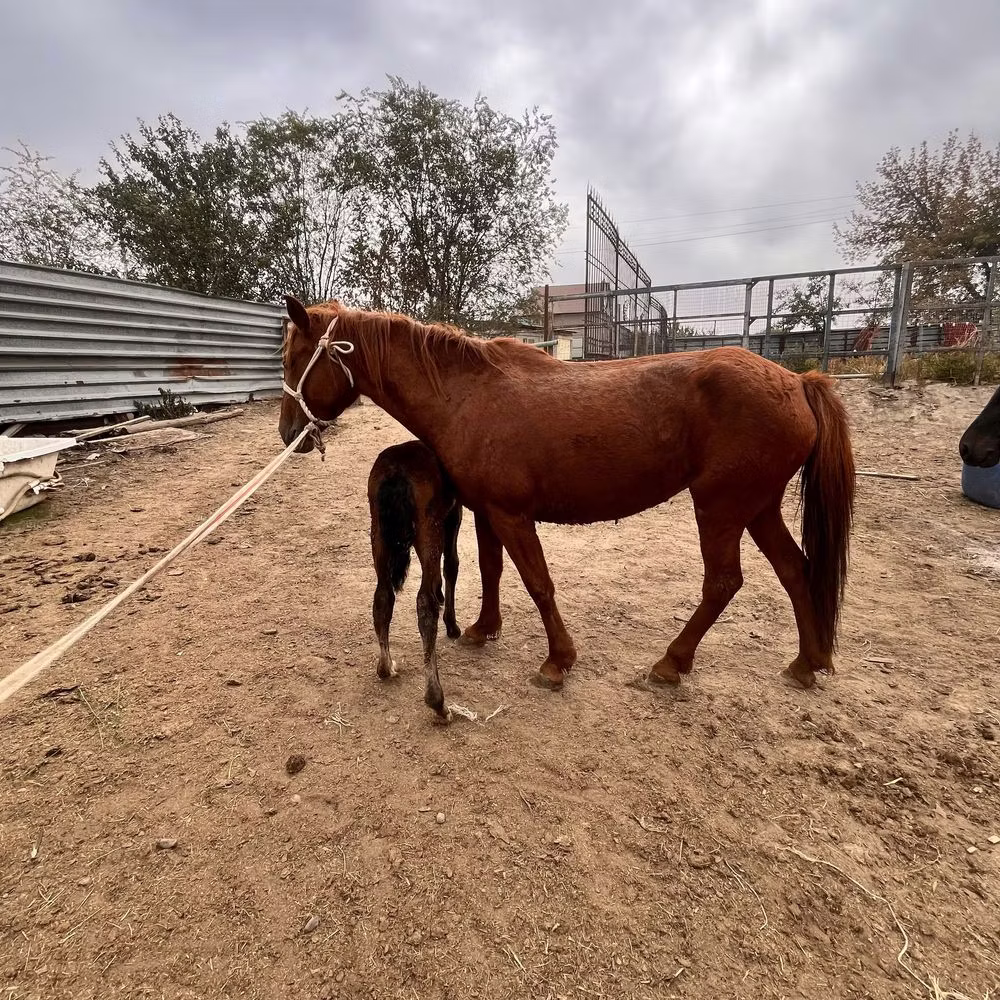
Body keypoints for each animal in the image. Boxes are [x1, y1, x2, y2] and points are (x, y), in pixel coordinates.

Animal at [368, 440, 463, 721]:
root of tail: (395, 474)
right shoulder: (454, 512)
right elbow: (451, 563)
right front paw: (452, 625)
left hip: (378, 534)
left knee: (382, 597)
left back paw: (386, 667)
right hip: (427, 528)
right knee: (424, 603)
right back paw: (438, 703)